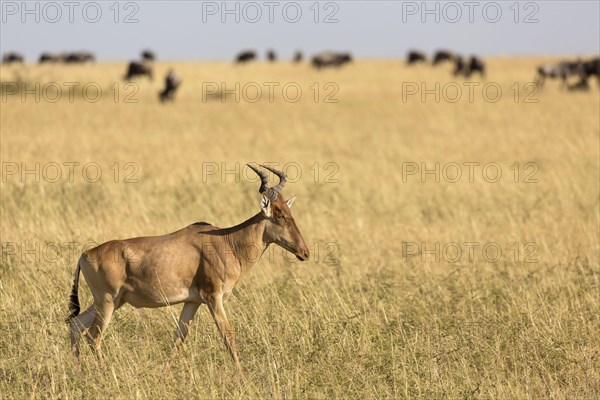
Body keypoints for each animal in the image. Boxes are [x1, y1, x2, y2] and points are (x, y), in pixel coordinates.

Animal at [65, 162, 310, 372]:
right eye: (279, 215)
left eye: (290, 213)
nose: (304, 253)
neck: (226, 241)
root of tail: (85, 254)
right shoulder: (213, 298)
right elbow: (228, 335)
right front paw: (241, 376)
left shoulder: (192, 302)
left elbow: (178, 339)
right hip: (107, 301)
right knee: (93, 336)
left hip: (112, 301)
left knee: (75, 324)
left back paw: (79, 373)